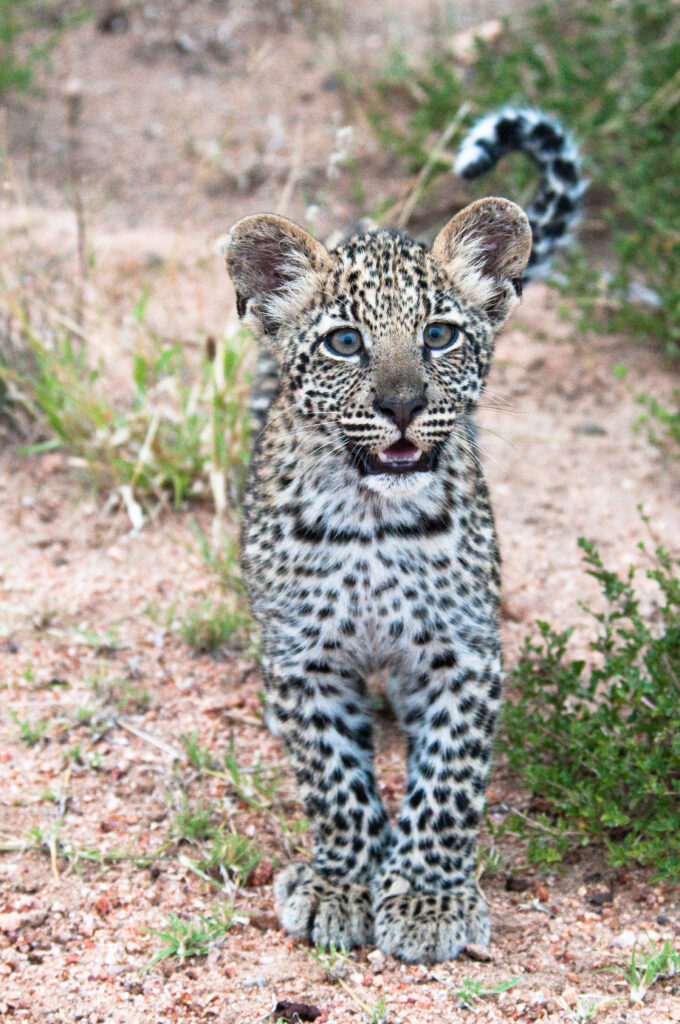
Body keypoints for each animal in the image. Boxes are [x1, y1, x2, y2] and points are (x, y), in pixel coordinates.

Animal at [224, 108, 583, 964]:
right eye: (345, 342)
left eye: (442, 335)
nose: (401, 405)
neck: (374, 525)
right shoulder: (306, 658)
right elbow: (334, 781)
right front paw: (344, 883)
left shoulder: (462, 652)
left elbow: (449, 783)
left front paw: (427, 898)